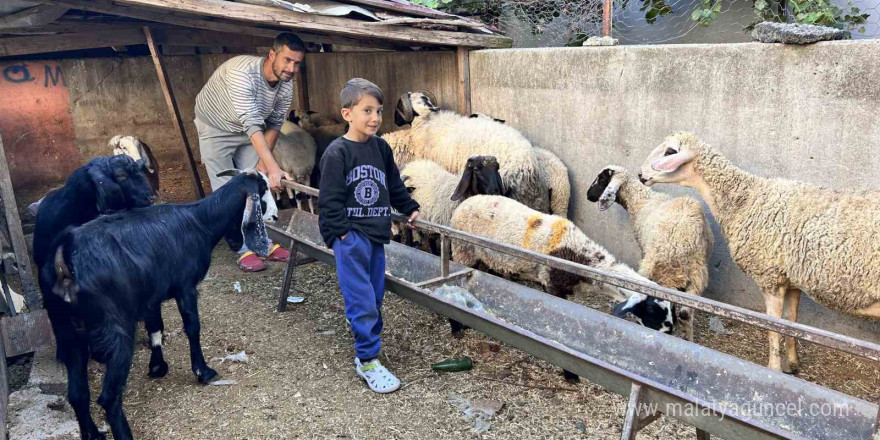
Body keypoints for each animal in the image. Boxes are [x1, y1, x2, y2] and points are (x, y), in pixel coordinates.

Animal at [40, 169, 272, 440]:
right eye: (264, 191)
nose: (275, 215)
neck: (200, 221)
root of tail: (65, 258)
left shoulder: (151, 295)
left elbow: (156, 327)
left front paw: (157, 367)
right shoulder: (185, 286)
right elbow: (192, 327)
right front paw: (203, 371)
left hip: (68, 332)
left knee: (77, 394)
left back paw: (93, 434)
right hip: (115, 330)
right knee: (108, 397)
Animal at [584, 165, 716, 340]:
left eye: (602, 179)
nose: (588, 195)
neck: (641, 201)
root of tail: (682, 246)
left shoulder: (642, 248)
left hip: (655, 268)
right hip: (697, 278)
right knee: (685, 313)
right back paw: (687, 338)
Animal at [636, 131, 880, 372]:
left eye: (670, 151)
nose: (640, 174)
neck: (745, 199)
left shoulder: (769, 278)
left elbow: (774, 328)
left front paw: (774, 369)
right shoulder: (791, 281)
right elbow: (791, 322)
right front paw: (792, 364)